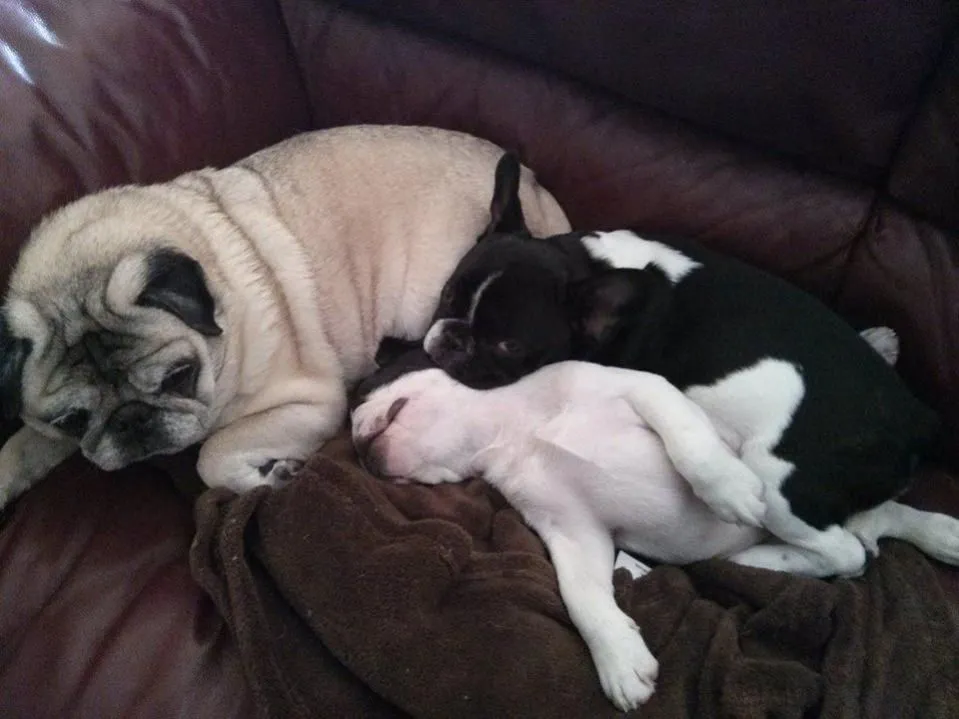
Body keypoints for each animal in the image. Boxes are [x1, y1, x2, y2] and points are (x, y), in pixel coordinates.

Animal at [352, 340, 959, 712]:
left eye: (364, 389)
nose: (356, 445)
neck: (513, 429)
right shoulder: (573, 531)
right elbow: (583, 597)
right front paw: (620, 661)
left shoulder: (644, 390)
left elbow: (687, 436)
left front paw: (724, 487)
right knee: (867, 533)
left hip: (777, 483)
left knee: (848, 550)